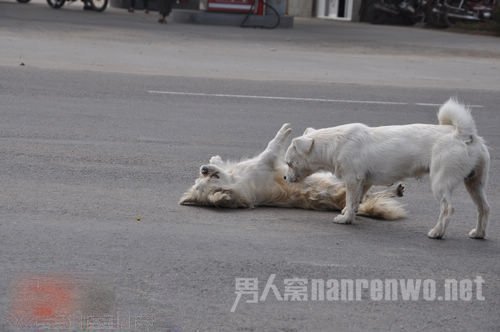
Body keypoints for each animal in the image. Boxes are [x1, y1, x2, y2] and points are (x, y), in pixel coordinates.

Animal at [180, 122, 406, 220]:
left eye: (208, 175)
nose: (203, 169)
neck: (238, 180)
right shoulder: (265, 159)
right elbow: (274, 143)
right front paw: (285, 129)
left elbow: (220, 160)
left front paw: (214, 158)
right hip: (343, 184)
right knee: (367, 194)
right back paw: (394, 190)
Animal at [284, 98, 490, 239]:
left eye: (288, 163)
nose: (285, 179)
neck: (336, 142)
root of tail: (463, 134)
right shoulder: (364, 182)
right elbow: (356, 201)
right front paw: (348, 213)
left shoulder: (352, 180)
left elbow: (350, 200)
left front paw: (345, 219)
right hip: (475, 183)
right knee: (484, 208)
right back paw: (478, 233)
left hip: (441, 183)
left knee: (447, 209)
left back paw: (437, 232)